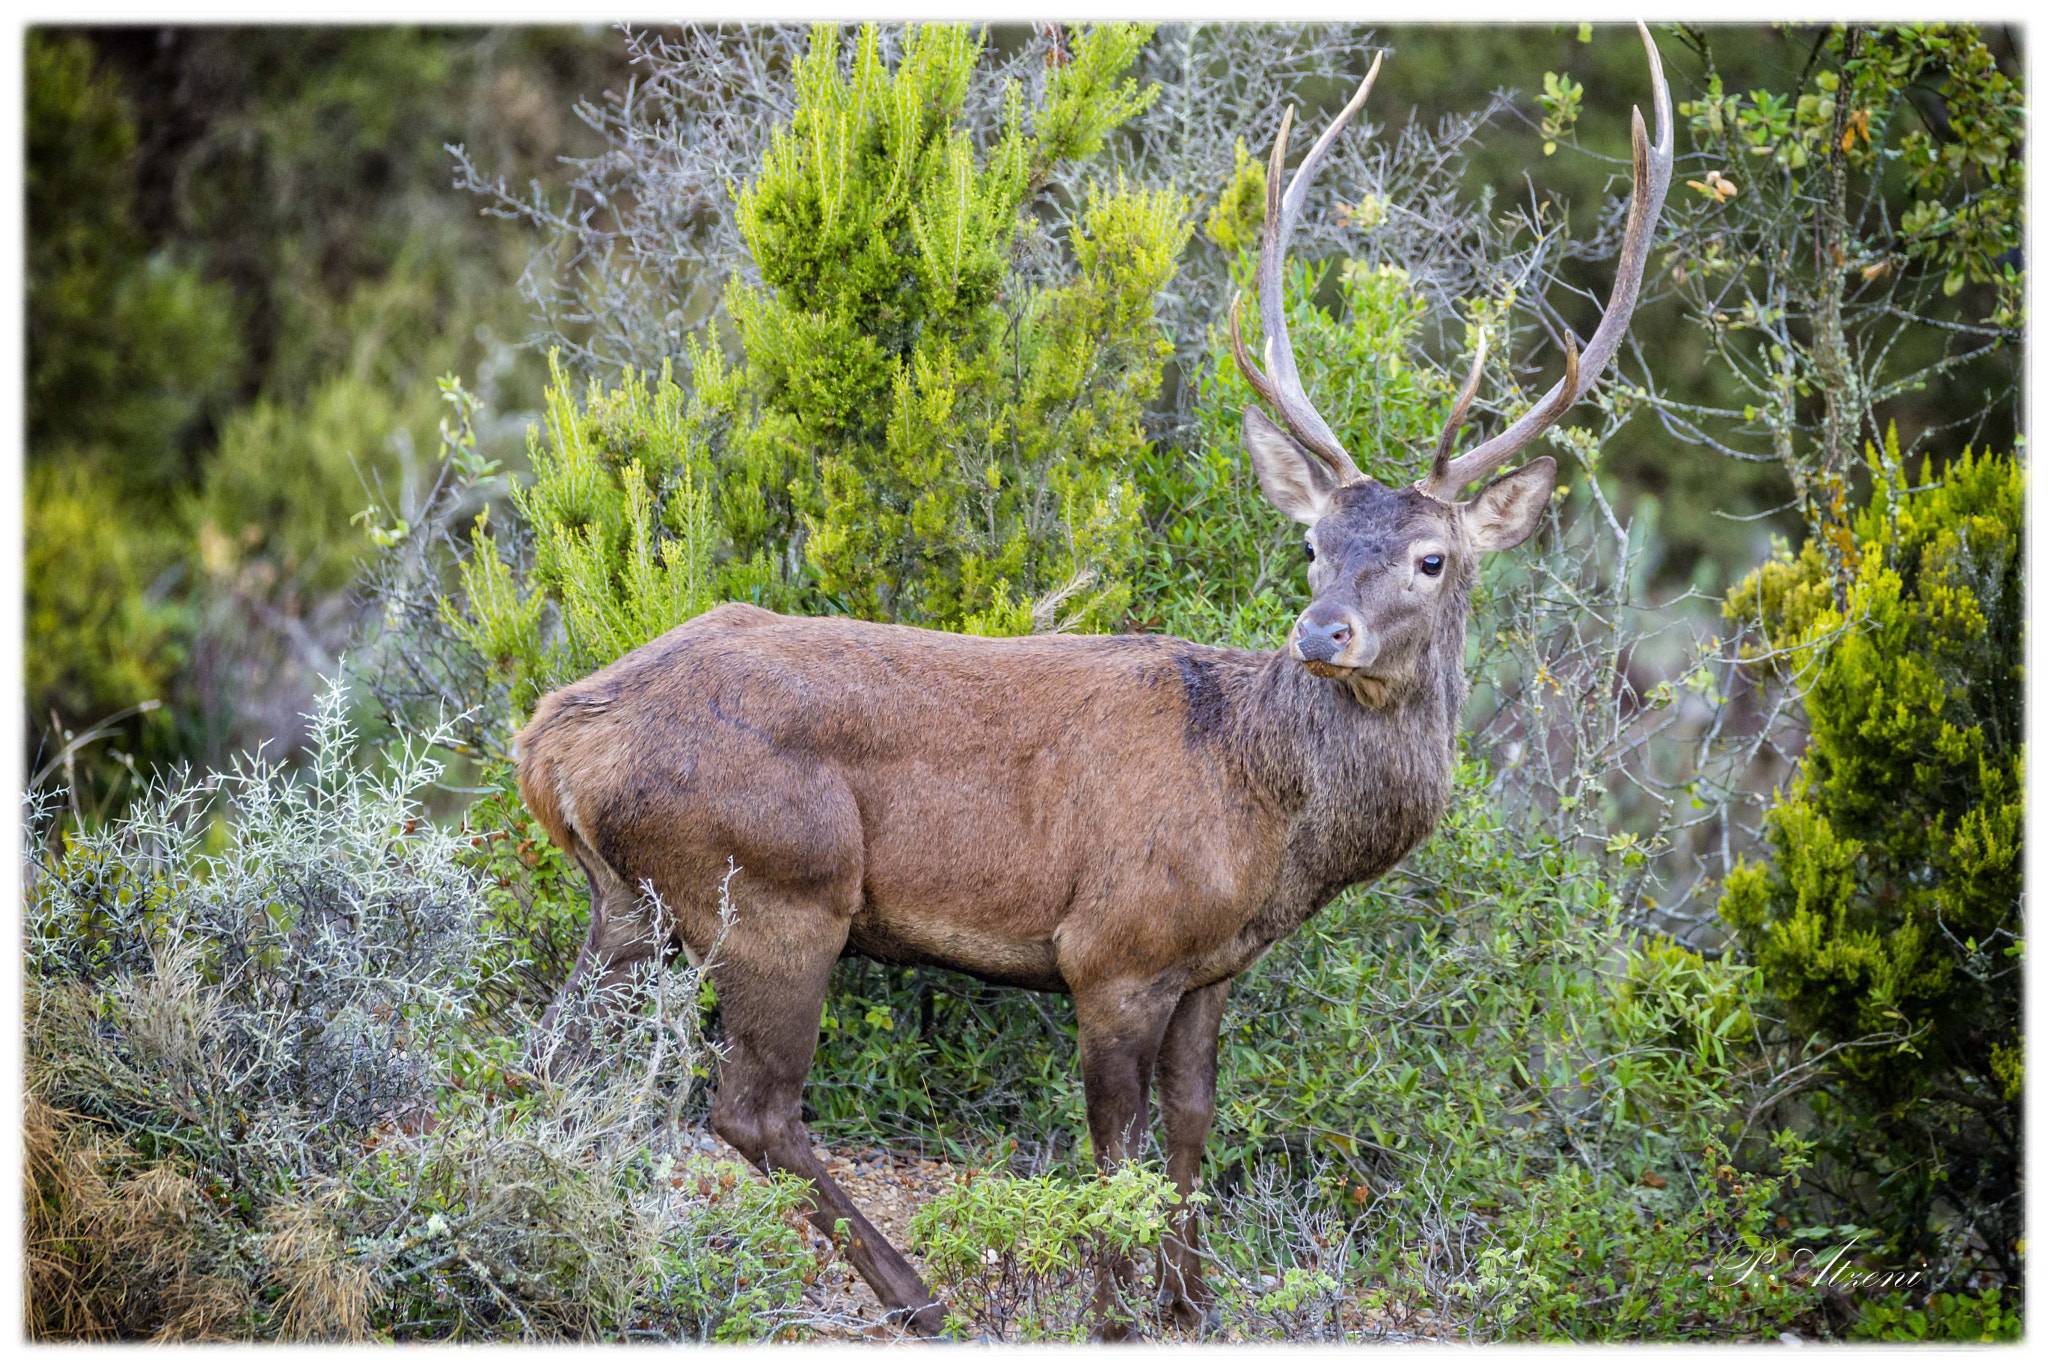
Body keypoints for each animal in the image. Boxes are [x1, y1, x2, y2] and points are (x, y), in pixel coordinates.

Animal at [516, 24, 1671, 1340]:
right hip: (773, 885)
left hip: (628, 904)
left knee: (548, 1058)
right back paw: (916, 1293)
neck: (1270, 809)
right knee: (749, 1107)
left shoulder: (1213, 965)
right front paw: (1116, 1304)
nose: (1319, 632)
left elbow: (1191, 1122)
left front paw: (1190, 1297)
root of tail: (552, 737)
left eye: (1430, 557)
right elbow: (1111, 1140)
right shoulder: (1112, 945)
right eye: (1315, 542)